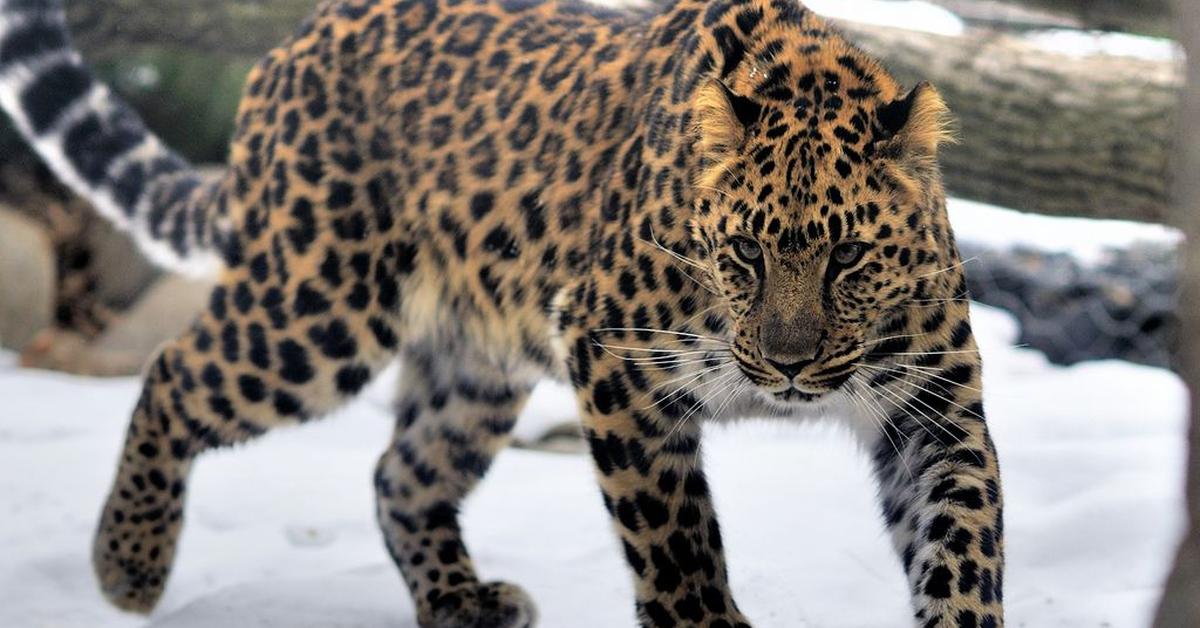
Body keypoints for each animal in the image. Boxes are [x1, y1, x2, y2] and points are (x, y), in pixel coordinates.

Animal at [0, 0, 1003, 624]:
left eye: (848, 257)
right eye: (746, 255)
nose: (788, 367)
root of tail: (294, 44)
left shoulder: (934, 414)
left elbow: (964, 545)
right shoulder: (617, 361)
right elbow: (676, 543)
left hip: (476, 364)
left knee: (401, 472)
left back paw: (461, 601)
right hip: (316, 310)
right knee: (173, 373)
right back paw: (126, 567)